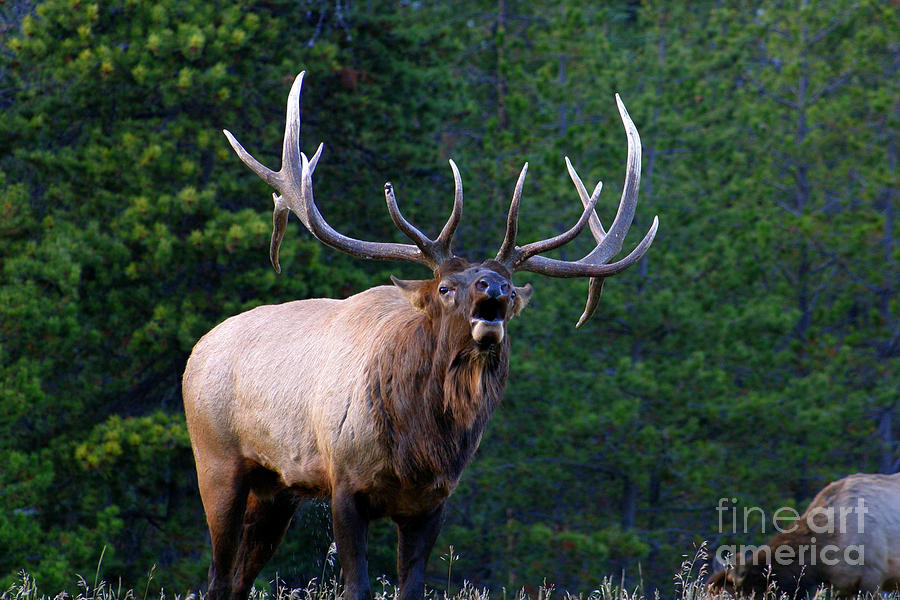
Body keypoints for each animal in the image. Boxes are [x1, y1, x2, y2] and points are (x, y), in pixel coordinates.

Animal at [183, 71, 656, 600]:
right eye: (445, 287)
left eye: (511, 290)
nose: (494, 287)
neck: (419, 446)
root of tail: (198, 350)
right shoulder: (344, 484)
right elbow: (357, 587)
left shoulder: (432, 502)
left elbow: (412, 587)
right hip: (216, 459)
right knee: (218, 575)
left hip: (277, 487)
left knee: (239, 577)